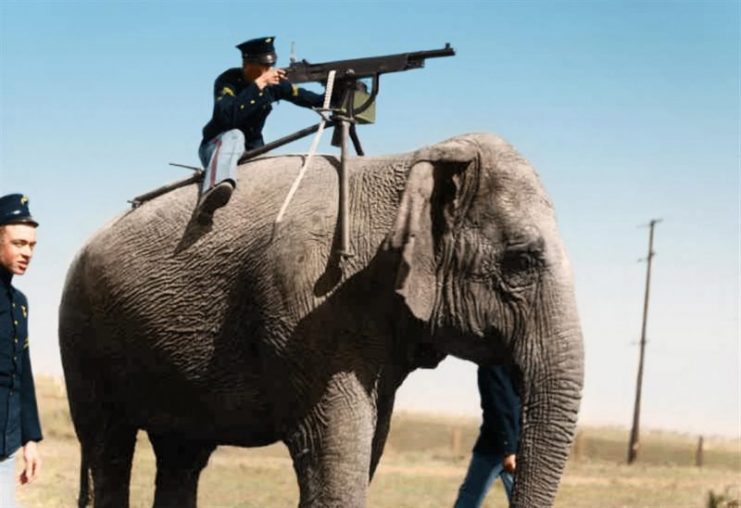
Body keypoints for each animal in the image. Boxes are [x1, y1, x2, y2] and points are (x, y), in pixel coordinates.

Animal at [59, 133, 584, 506]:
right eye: (521, 261)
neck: (413, 163)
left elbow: (370, 441)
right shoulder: (308, 300)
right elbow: (335, 448)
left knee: (181, 456)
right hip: (81, 336)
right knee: (108, 447)